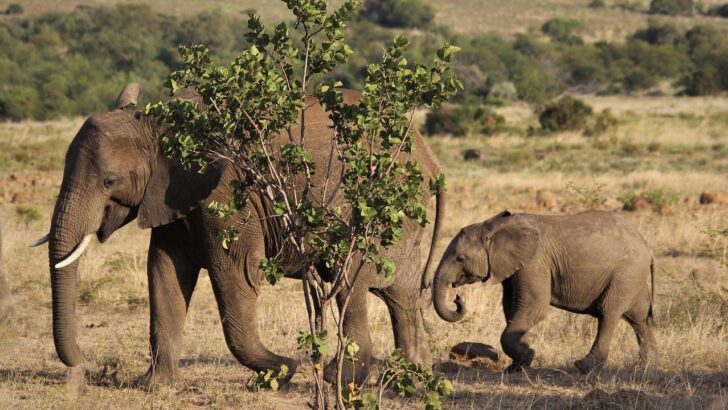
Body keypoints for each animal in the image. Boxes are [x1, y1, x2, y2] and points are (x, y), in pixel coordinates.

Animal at [32, 83, 446, 387]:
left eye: (109, 181)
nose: (83, 365)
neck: (163, 124)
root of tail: (431, 161)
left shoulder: (229, 194)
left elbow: (235, 273)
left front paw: (283, 369)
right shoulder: (170, 197)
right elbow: (164, 275)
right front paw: (152, 386)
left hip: (376, 207)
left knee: (350, 282)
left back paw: (338, 379)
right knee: (400, 296)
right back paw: (412, 377)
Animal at [432, 210, 657, 373]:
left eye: (460, 259)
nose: (457, 298)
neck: (493, 226)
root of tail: (647, 246)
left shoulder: (534, 263)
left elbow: (535, 307)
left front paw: (527, 356)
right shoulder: (514, 267)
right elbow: (511, 308)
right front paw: (518, 365)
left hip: (626, 274)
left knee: (608, 312)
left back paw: (584, 367)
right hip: (632, 277)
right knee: (639, 318)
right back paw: (644, 366)